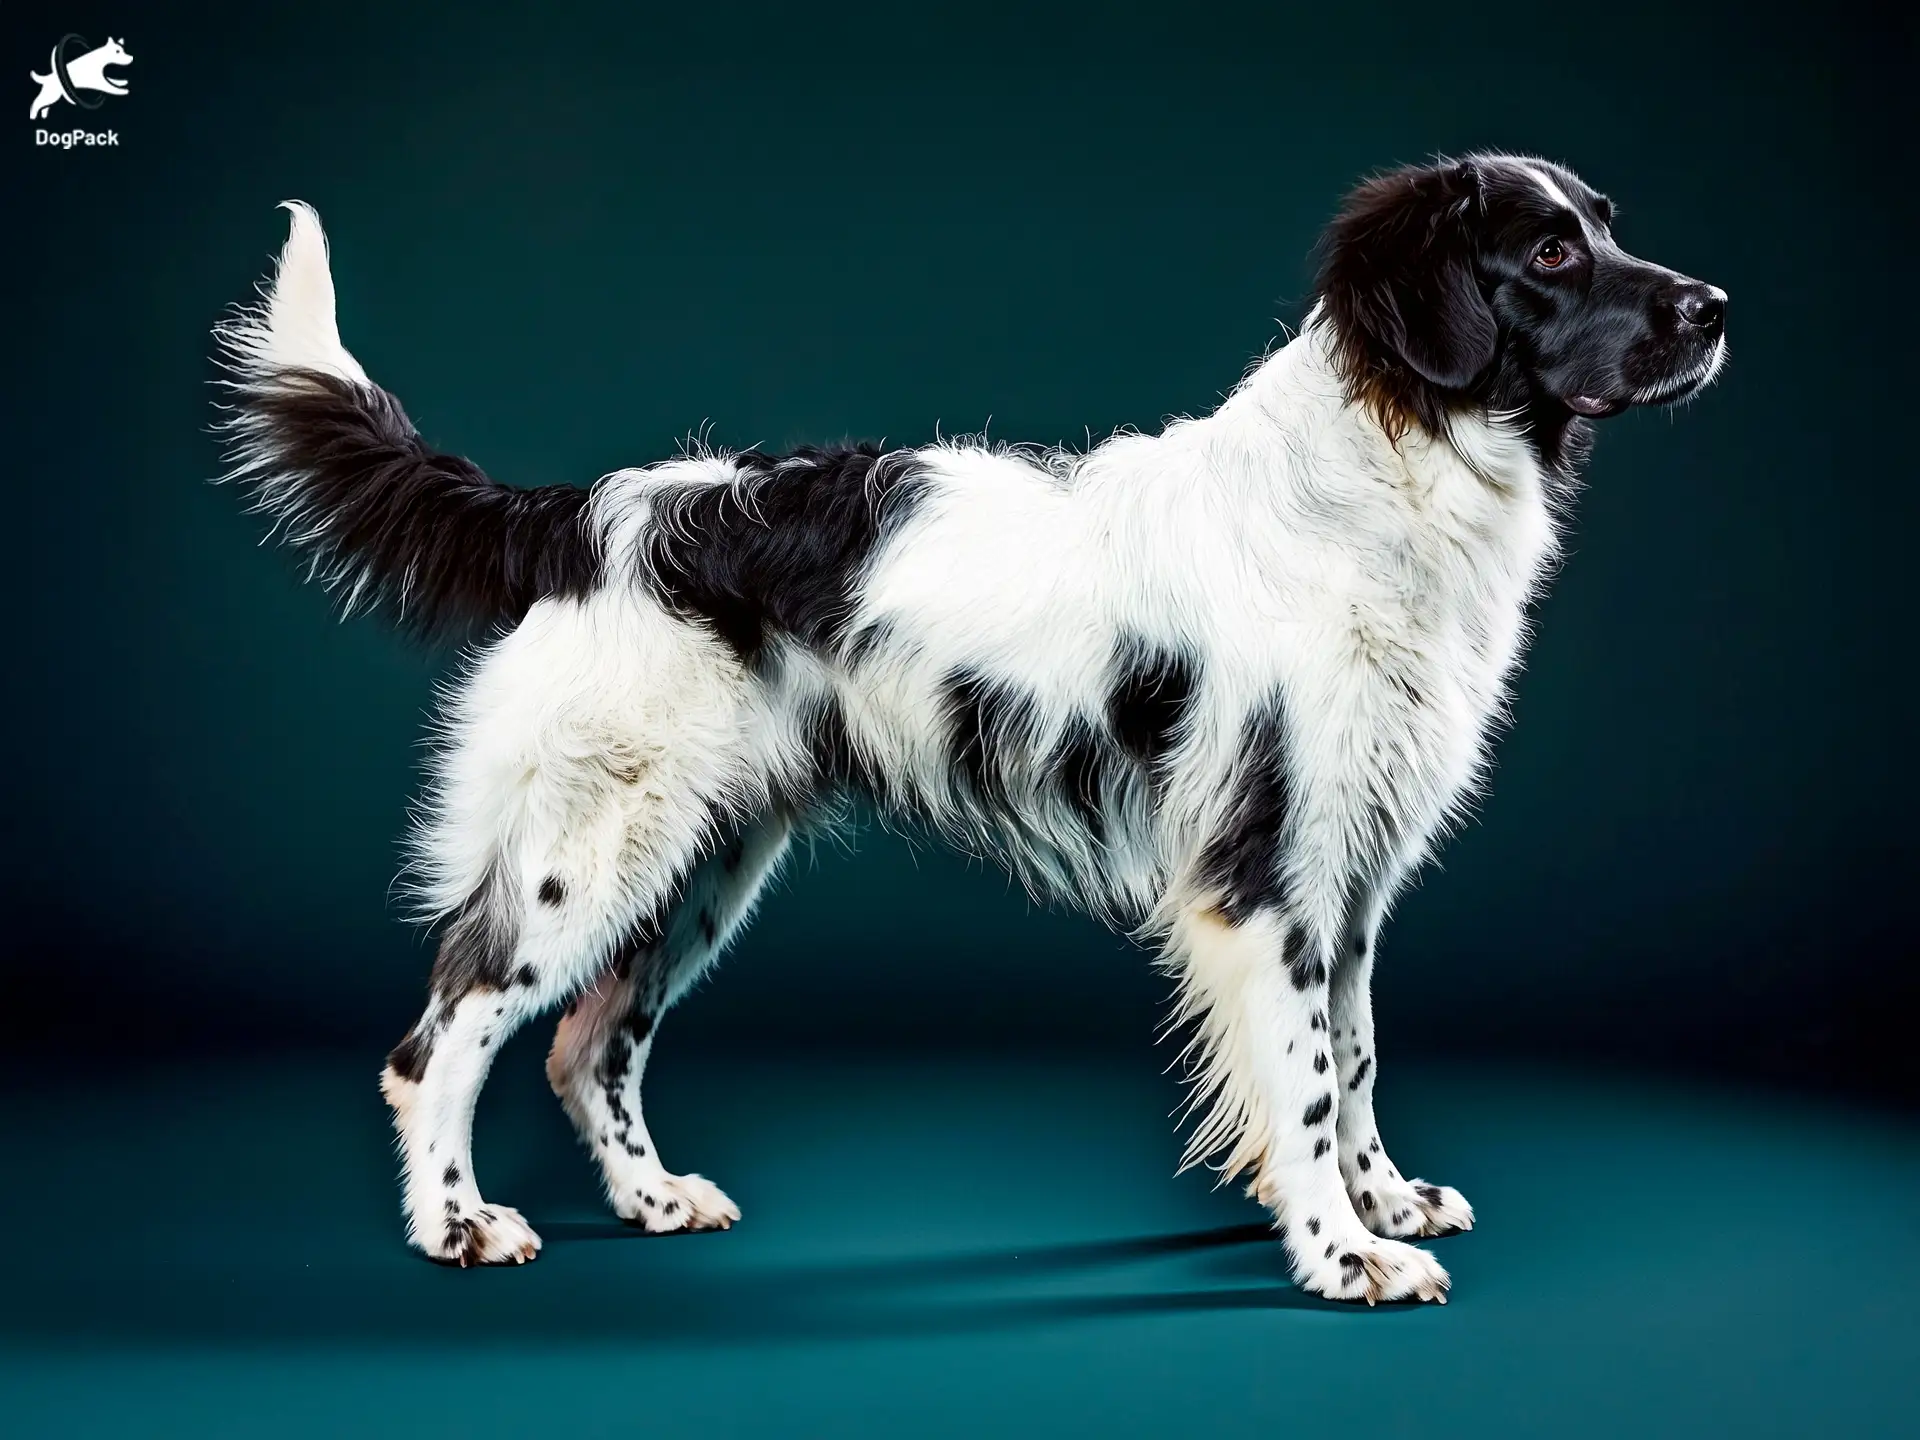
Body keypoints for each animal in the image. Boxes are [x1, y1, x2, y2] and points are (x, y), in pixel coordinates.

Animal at [220, 152, 1728, 1305]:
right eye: (1550, 251)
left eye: (1608, 225)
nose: (1716, 304)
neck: (1375, 477)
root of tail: (596, 510)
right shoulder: (1268, 879)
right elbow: (1303, 1087)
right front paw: (1346, 1257)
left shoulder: (1351, 881)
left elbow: (1354, 1064)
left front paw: (1388, 1202)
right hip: (586, 857)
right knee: (443, 1041)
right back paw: (456, 1225)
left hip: (702, 865)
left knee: (586, 1047)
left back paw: (654, 1202)